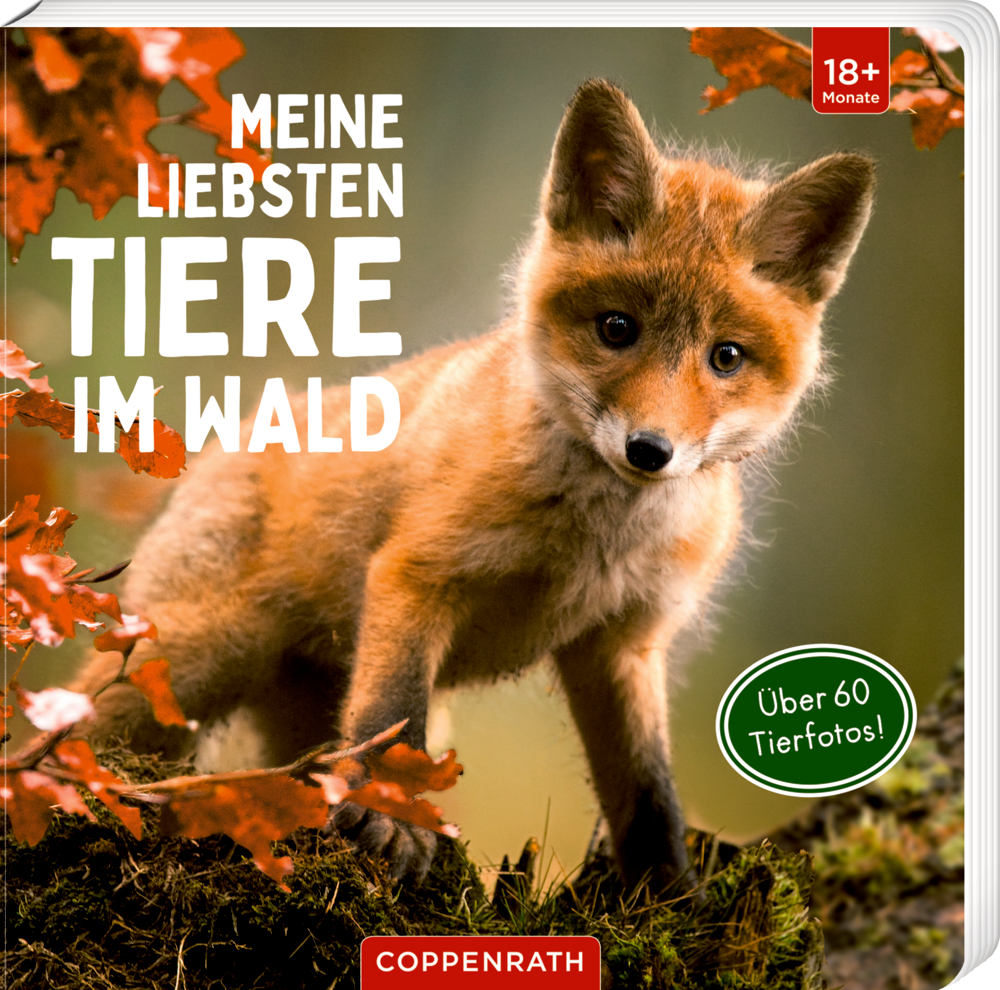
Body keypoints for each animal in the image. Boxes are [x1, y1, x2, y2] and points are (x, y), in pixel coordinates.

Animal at [72, 79, 874, 888]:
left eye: (726, 357)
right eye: (618, 328)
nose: (651, 450)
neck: (592, 542)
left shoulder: (622, 644)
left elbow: (648, 791)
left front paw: (669, 892)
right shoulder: (416, 576)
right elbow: (393, 719)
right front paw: (392, 822)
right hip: (184, 666)